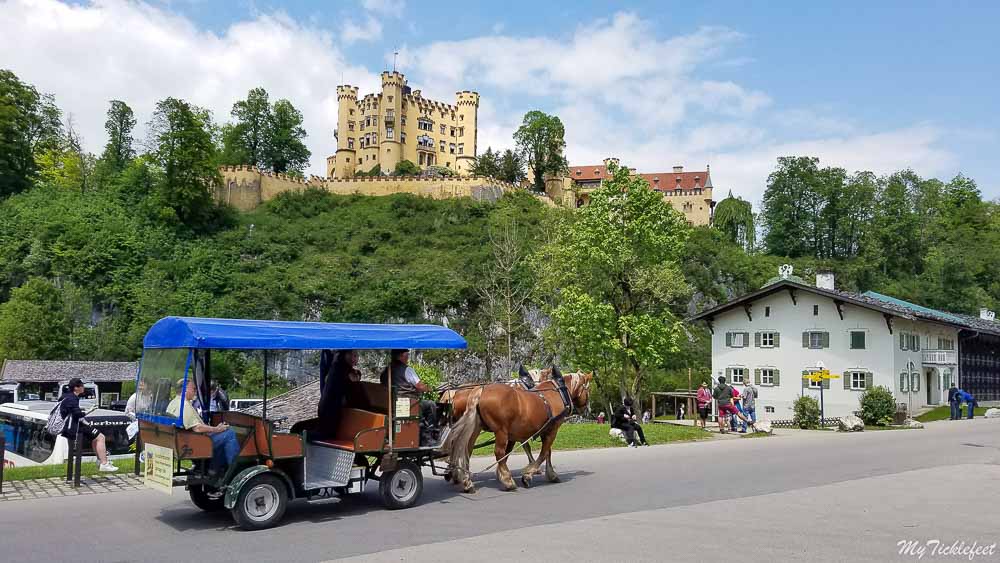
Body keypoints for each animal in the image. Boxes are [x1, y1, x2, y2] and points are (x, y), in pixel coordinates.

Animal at [442, 368, 588, 492]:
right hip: (500, 431)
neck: (557, 393)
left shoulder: (523, 433)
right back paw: (508, 482)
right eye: (588, 389)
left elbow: (525, 452)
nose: (585, 409)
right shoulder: (551, 429)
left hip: (475, 429)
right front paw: (530, 474)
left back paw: (465, 479)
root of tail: (480, 390)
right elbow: (543, 452)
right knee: (498, 452)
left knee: (466, 449)